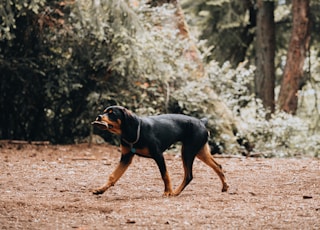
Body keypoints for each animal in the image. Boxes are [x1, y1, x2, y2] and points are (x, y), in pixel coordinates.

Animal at [91, 106, 229, 196]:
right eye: (104, 112)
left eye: (112, 113)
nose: (98, 116)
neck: (134, 131)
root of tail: (201, 122)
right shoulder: (126, 157)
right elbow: (113, 176)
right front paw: (100, 189)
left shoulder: (158, 155)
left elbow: (165, 175)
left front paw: (167, 191)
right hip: (200, 151)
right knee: (218, 166)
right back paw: (225, 186)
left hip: (188, 151)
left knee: (189, 175)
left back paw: (175, 192)